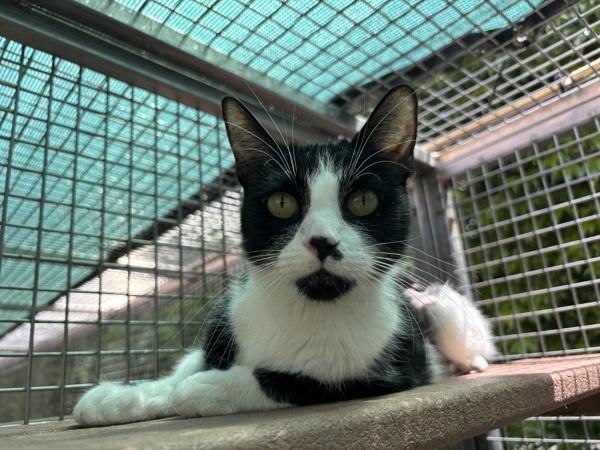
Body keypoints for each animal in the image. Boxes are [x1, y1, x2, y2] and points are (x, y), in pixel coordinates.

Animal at [74, 86, 496, 428]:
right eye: (281, 203)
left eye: (363, 200)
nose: (322, 242)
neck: (306, 308)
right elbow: (188, 364)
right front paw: (126, 396)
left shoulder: (393, 372)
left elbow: (309, 381)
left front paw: (209, 387)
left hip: (439, 305)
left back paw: (469, 364)